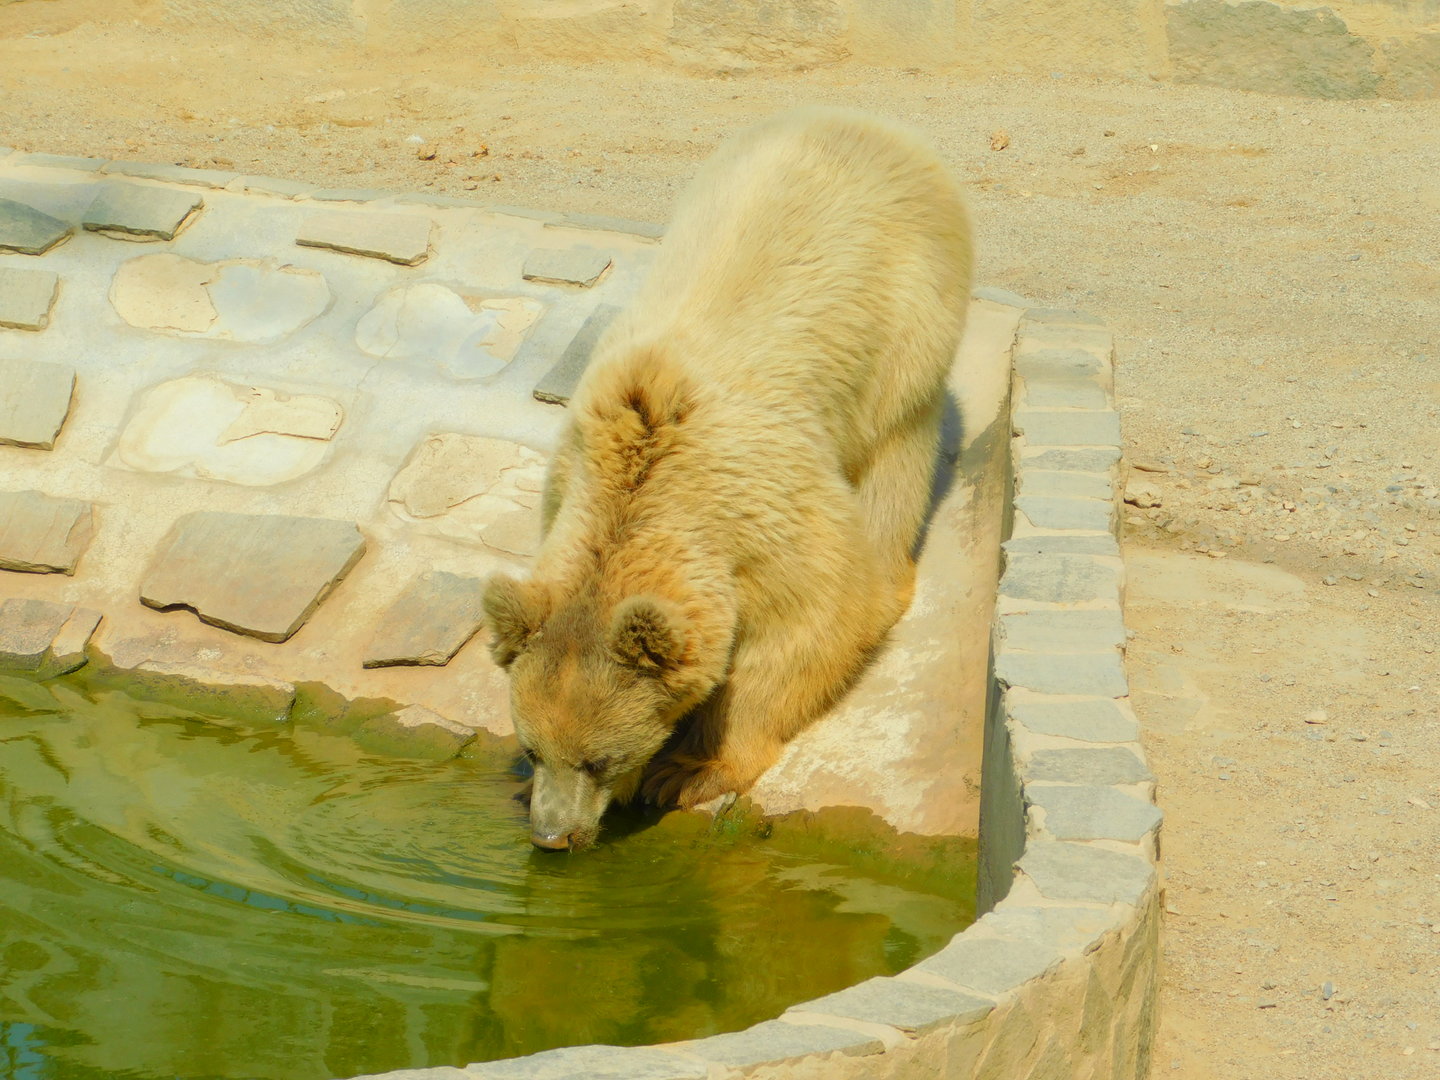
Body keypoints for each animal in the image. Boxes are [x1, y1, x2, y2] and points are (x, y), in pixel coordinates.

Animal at [483, 107, 974, 850]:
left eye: (598, 759)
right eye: (535, 749)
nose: (552, 835)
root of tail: (865, 122)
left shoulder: (760, 501)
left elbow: (814, 617)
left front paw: (687, 770)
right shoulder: (571, 477)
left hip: (904, 324)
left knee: (895, 455)